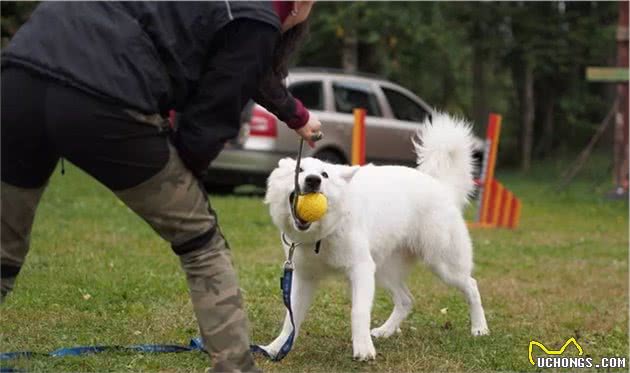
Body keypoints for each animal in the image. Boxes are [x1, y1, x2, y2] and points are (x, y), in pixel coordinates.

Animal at [262, 112, 488, 358]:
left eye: (325, 175)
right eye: (299, 171)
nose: (313, 180)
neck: (322, 234)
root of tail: (441, 186)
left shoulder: (360, 270)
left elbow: (358, 312)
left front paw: (363, 349)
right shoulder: (305, 278)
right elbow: (290, 319)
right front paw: (276, 347)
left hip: (442, 265)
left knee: (472, 286)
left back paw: (479, 328)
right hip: (383, 271)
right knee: (406, 300)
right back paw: (385, 331)